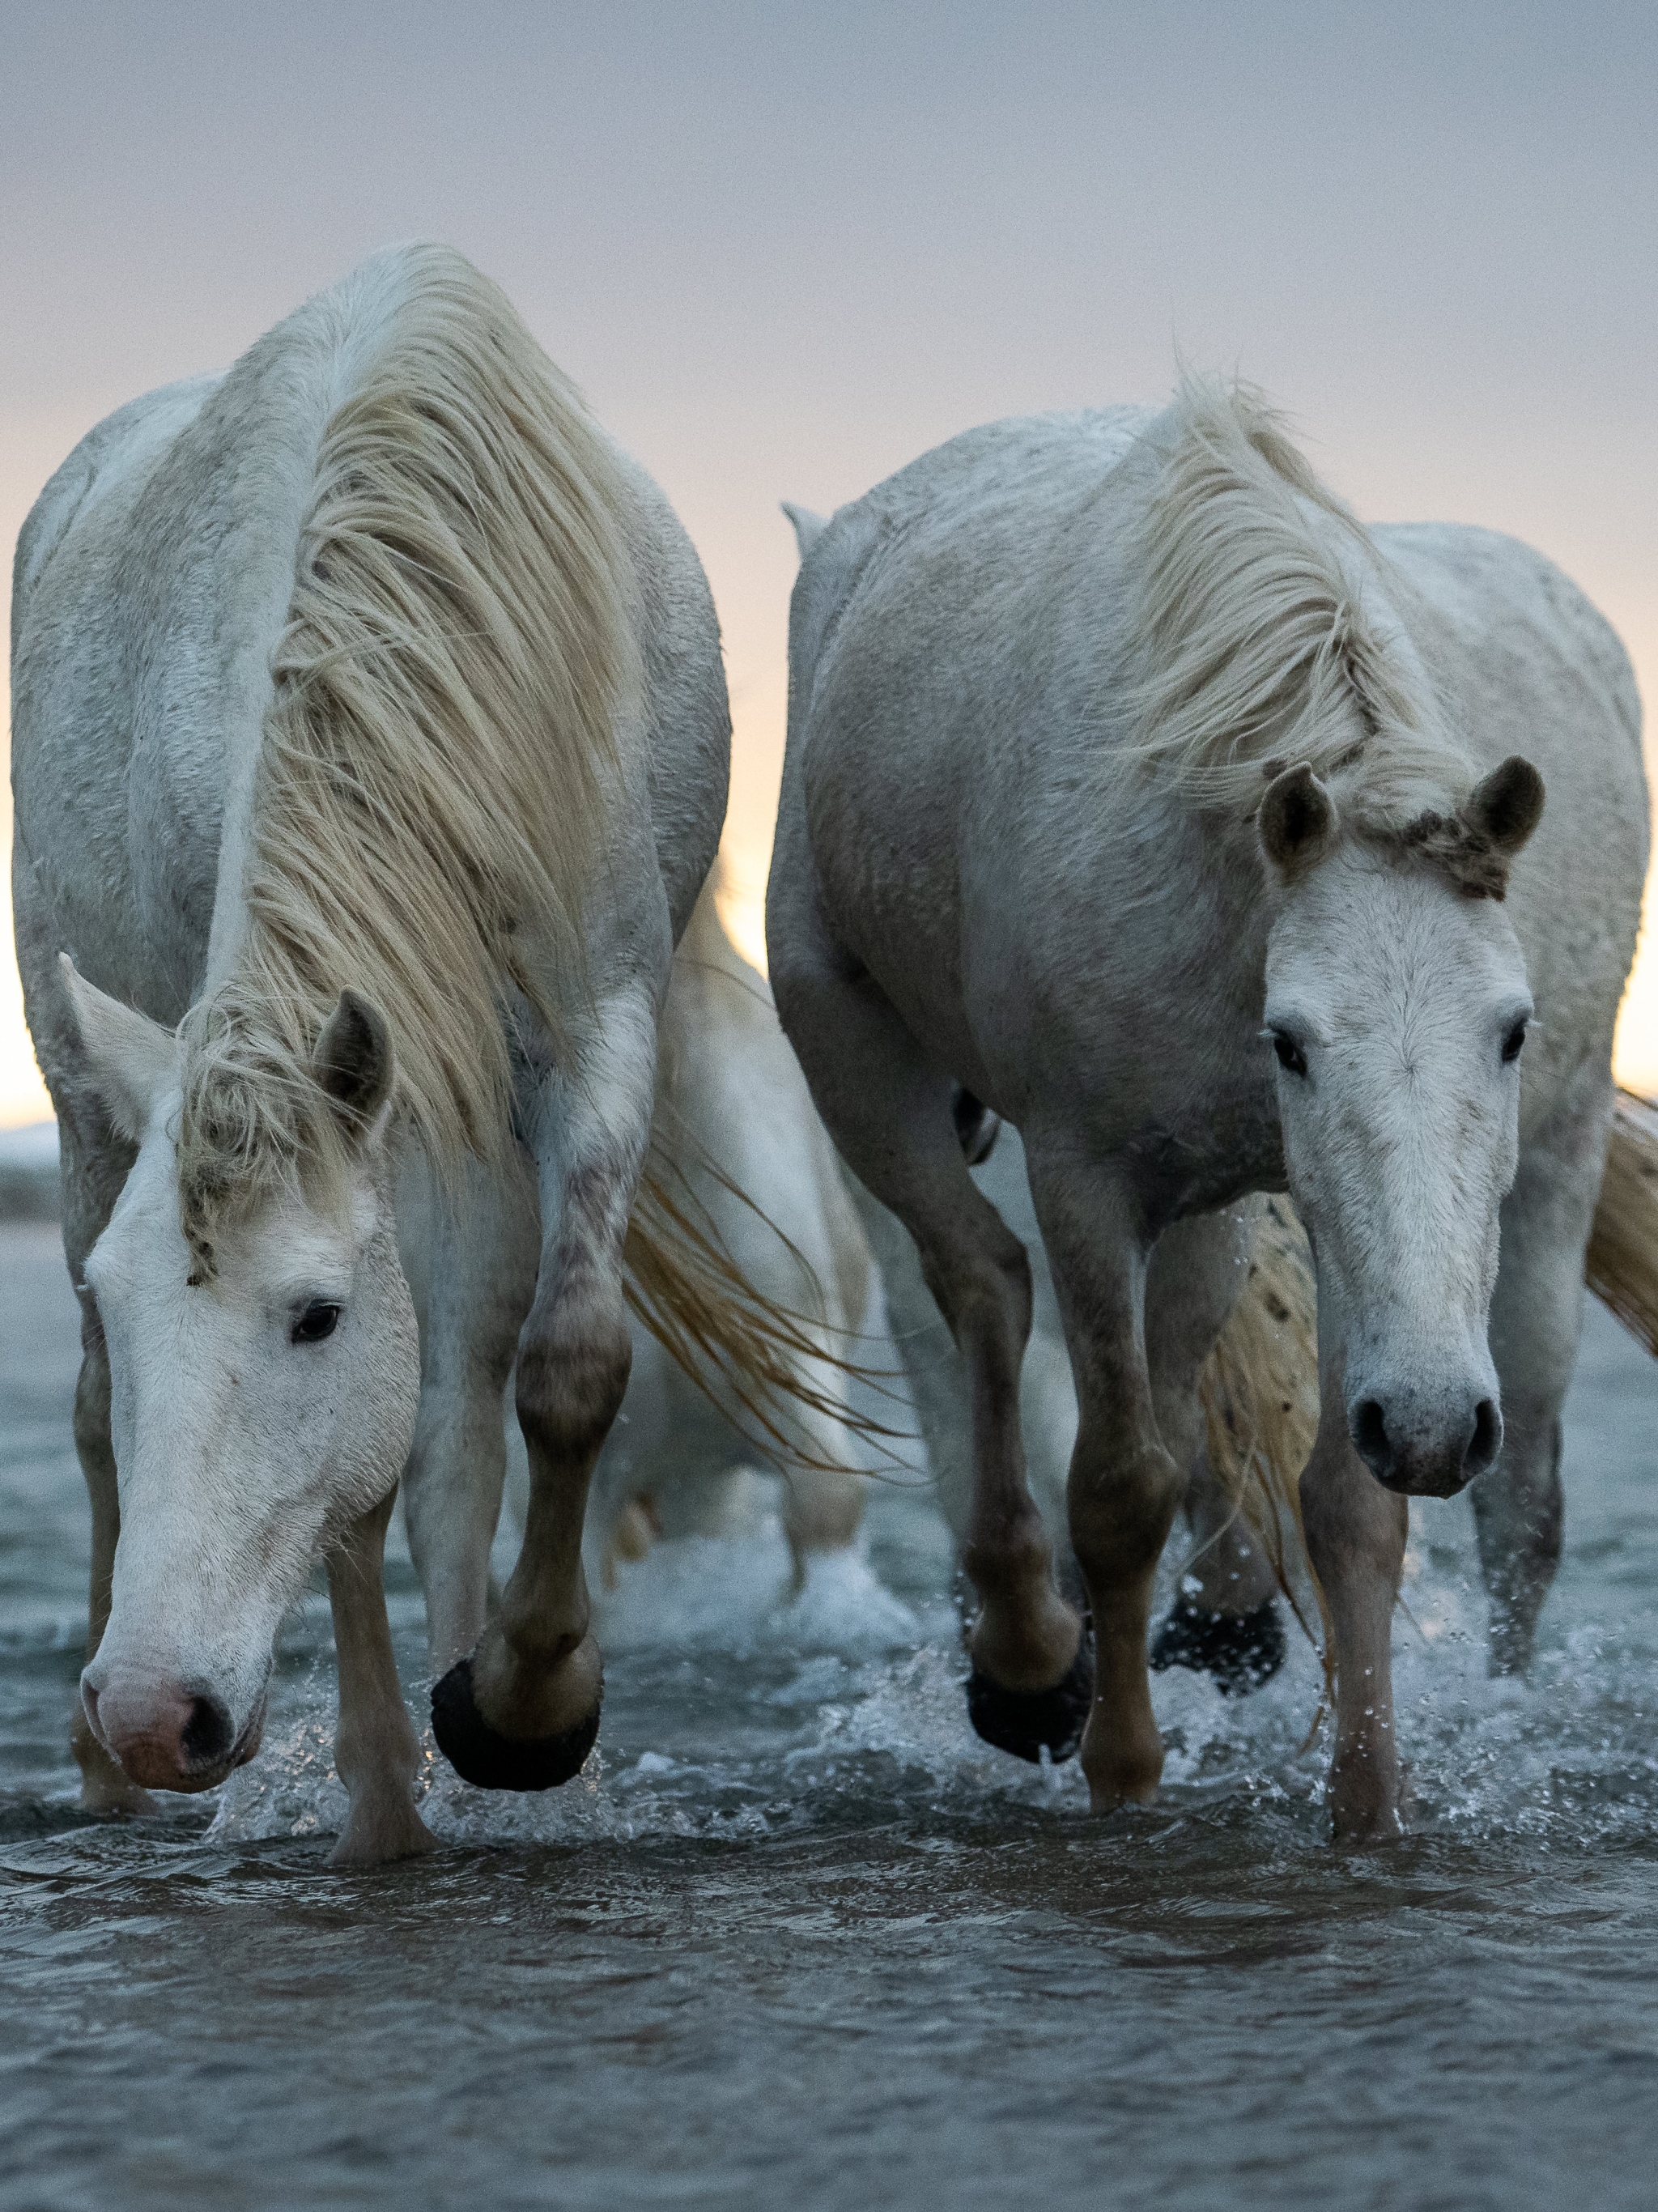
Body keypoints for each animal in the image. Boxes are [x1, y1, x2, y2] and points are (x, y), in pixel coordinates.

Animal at [778, 389, 1653, 1840]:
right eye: (1290, 1042)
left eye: (1512, 1029)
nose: (1438, 1420)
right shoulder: (1084, 1174)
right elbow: (1117, 1485)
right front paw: (1122, 1771)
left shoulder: (1306, 1208)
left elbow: (1348, 1505)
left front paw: (1367, 1808)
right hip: (852, 1050)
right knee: (981, 1284)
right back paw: (1027, 1662)